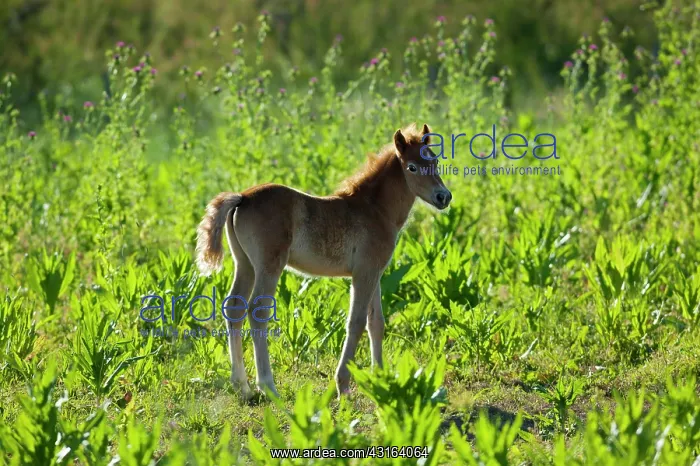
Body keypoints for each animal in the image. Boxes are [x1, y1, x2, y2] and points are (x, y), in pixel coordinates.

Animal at [195, 123, 451, 399]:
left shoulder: (374, 273)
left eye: (435, 161)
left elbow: (376, 323)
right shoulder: (364, 274)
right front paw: (343, 387)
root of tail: (242, 197)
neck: (375, 210)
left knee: (234, 308)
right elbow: (356, 322)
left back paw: (242, 386)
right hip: (269, 266)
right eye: (412, 167)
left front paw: (380, 379)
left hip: (245, 265)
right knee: (257, 311)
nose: (443, 197)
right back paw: (268, 386)